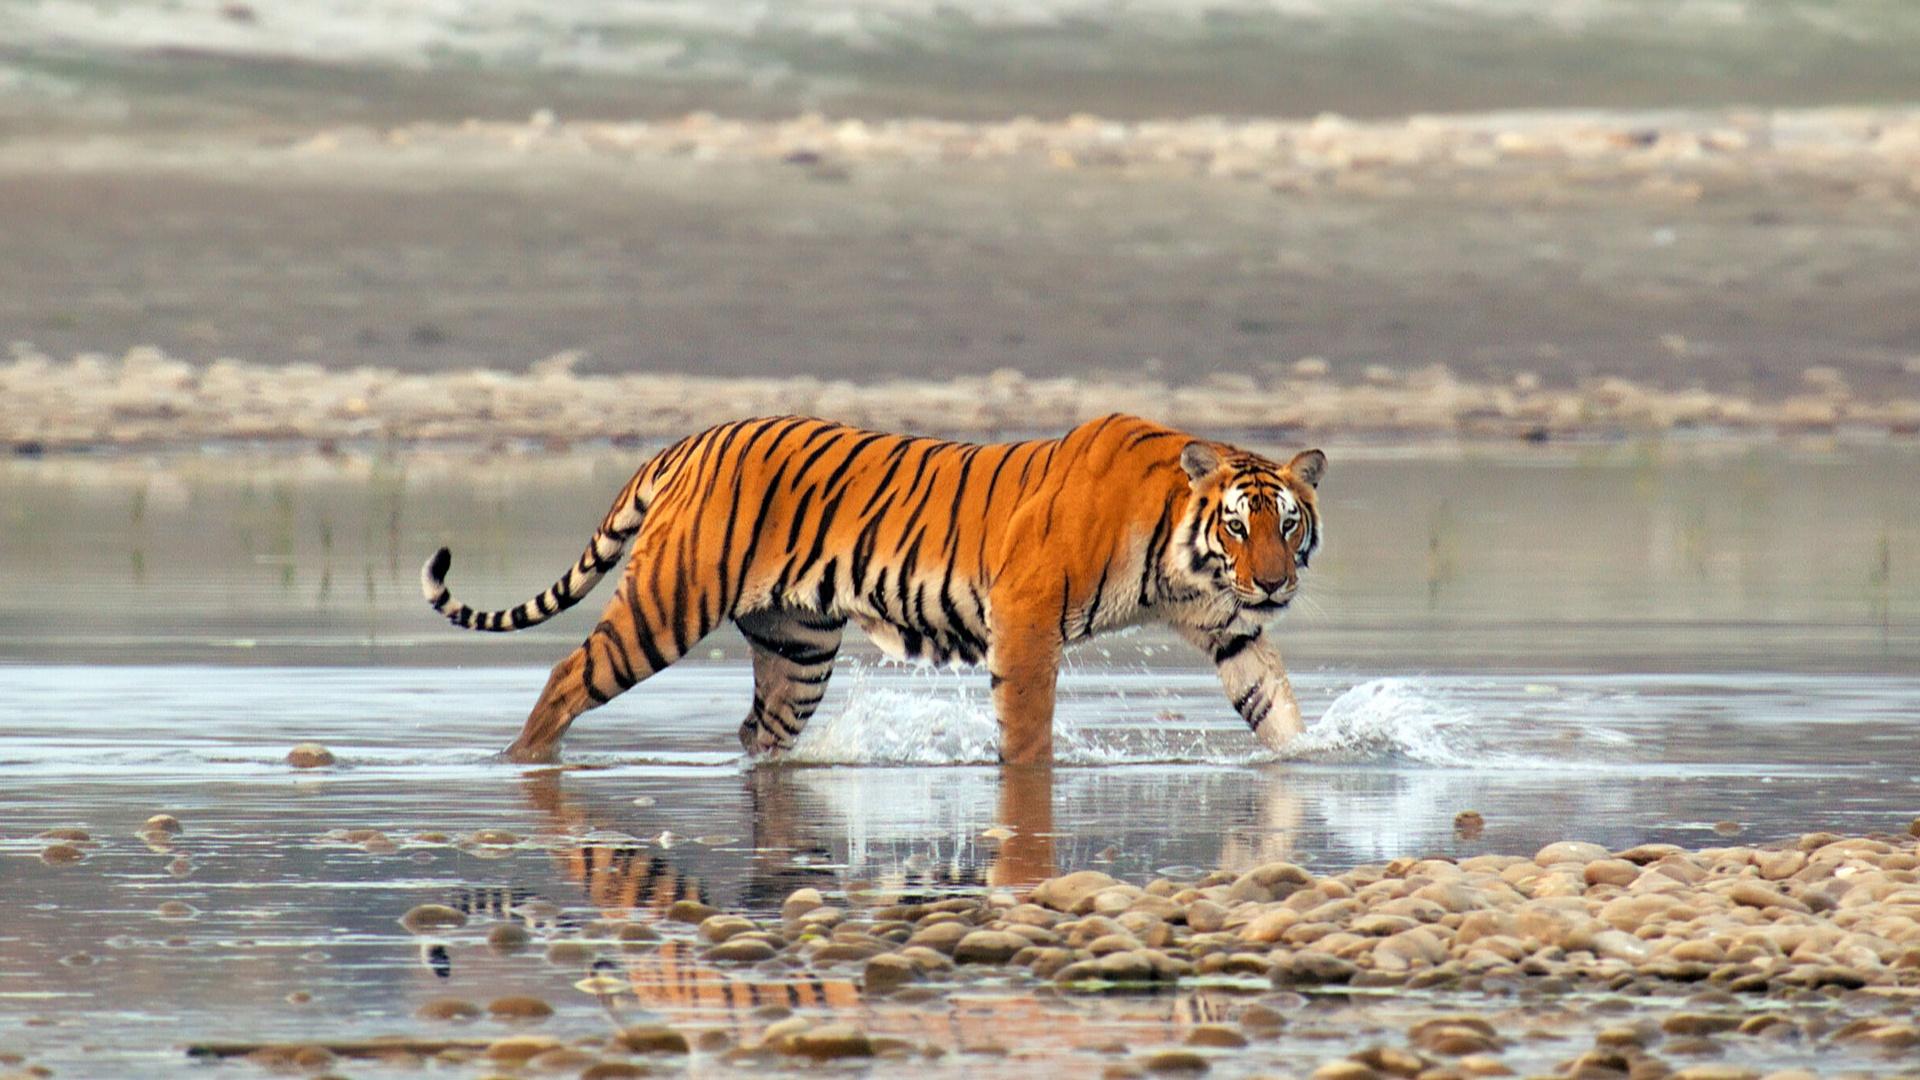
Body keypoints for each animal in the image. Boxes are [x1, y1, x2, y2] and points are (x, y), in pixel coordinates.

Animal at [421, 413, 1325, 765]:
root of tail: (689, 440)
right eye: (1238, 526)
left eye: (1288, 524)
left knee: (759, 732)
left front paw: (1311, 760)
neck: (1182, 553)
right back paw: (521, 762)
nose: (1273, 583)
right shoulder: (1027, 617)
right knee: (566, 676)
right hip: (666, 606)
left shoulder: (1227, 625)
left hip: (796, 648)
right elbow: (1028, 726)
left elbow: (1270, 699)